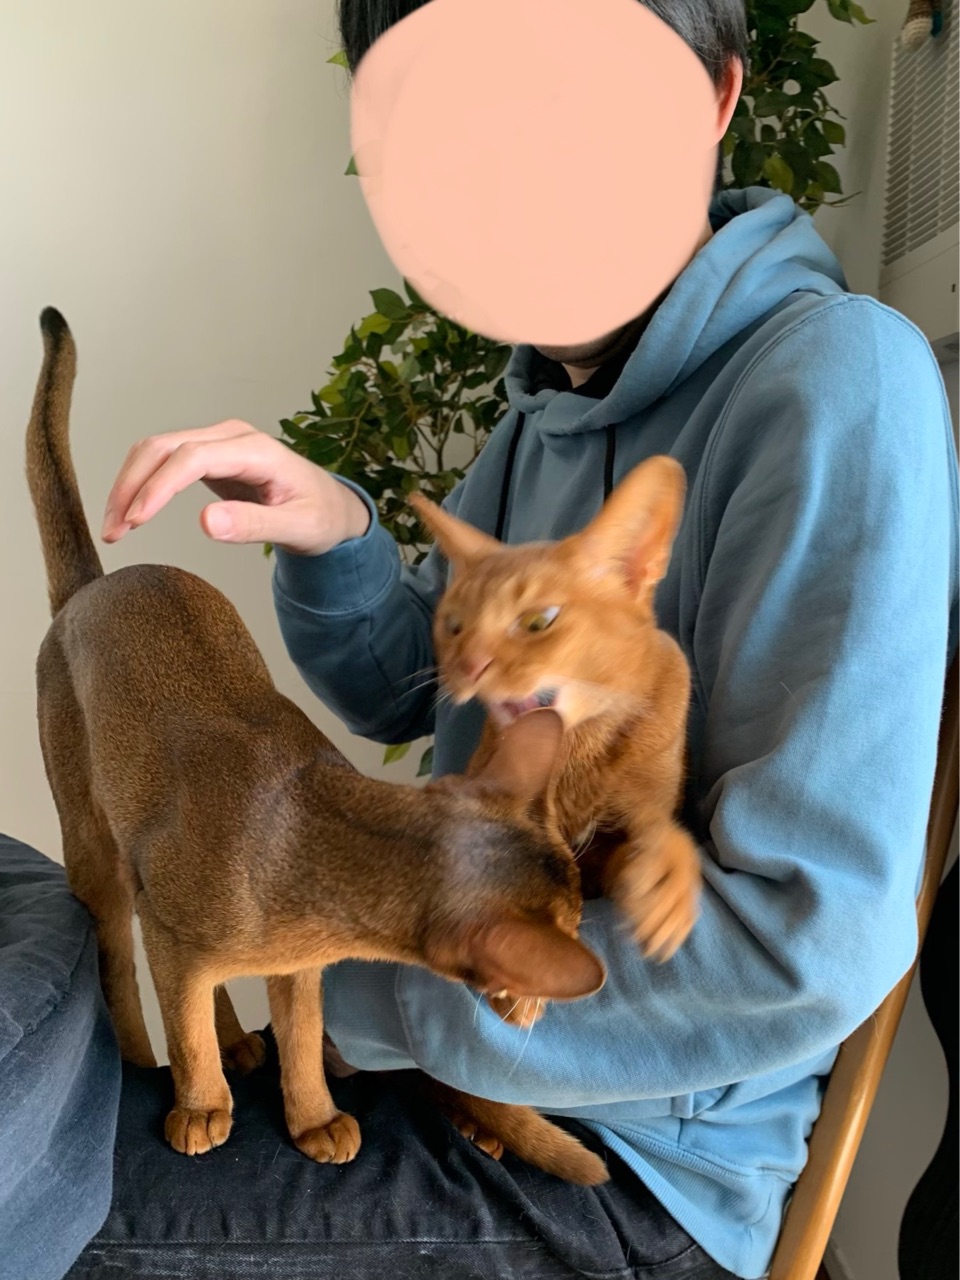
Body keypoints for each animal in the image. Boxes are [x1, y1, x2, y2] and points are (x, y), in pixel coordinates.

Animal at [25, 307, 608, 1185]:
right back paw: (141, 1060)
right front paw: (202, 1103)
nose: (540, 1006)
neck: (304, 833)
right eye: (564, 937)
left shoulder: (296, 967)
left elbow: (298, 1040)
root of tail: (92, 587)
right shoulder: (168, 921)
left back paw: (240, 1041)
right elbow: (181, 1019)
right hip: (98, 853)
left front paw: (312, 1117)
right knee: (118, 966)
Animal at [411, 456, 700, 1027]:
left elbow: (648, 835)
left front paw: (667, 875)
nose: (467, 668)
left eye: (537, 622)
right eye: (453, 626)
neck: (574, 759)